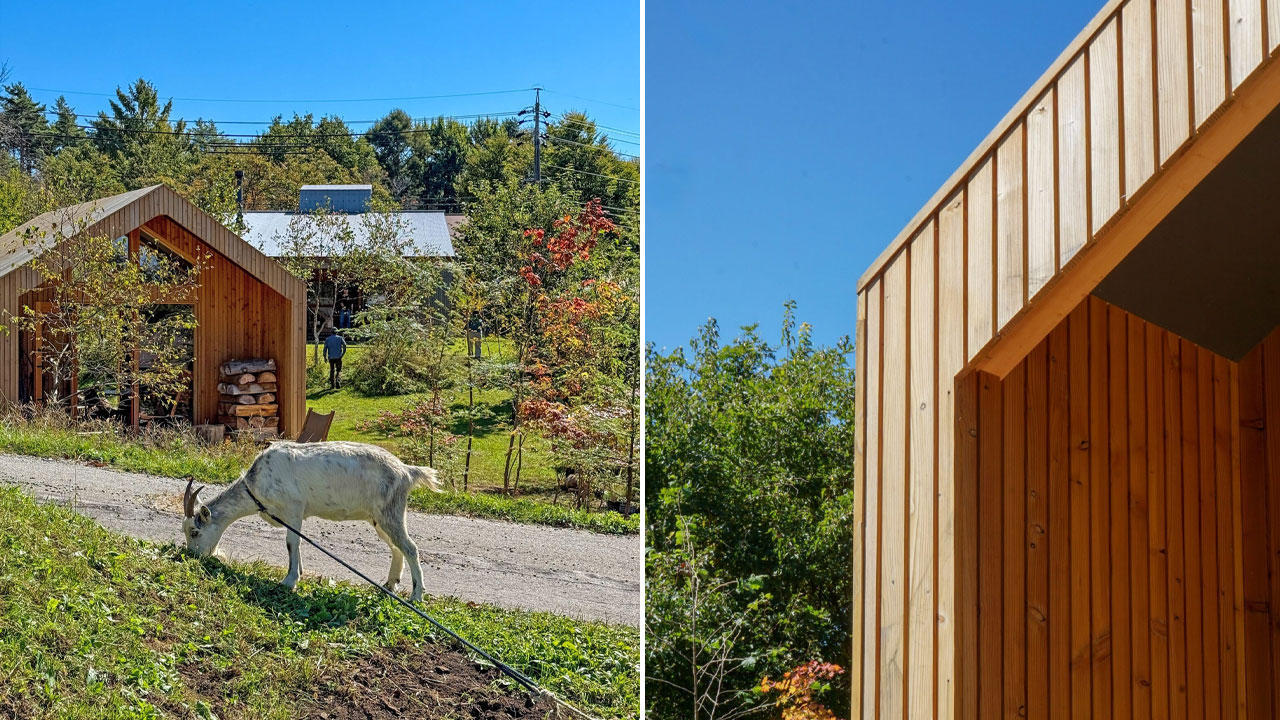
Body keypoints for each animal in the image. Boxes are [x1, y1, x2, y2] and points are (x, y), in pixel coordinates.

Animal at [180, 440, 440, 597]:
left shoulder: (293, 509)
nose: (192, 555)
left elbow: (291, 542)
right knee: (397, 547)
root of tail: (407, 471)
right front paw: (299, 572)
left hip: (390, 511)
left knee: (410, 547)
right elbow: (296, 544)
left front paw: (289, 581)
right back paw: (390, 584)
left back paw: (417, 595)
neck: (255, 485)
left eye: (195, 531)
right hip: (379, 517)